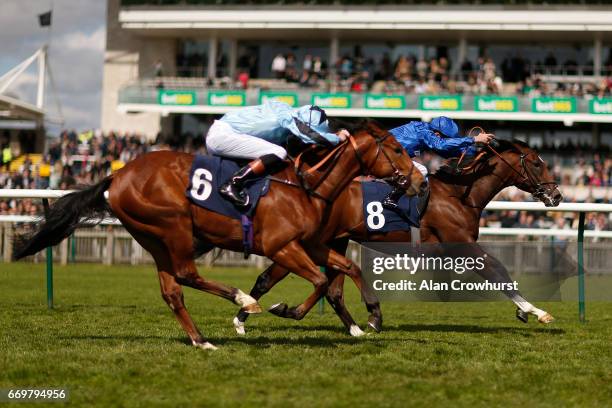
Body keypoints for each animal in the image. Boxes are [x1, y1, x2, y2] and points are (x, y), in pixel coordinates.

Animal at [15, 119, 426, 350]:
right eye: (395, 148)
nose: (420, 180)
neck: (306, 184)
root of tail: (116, 175)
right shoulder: (281, 246)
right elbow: (321, 283)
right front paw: (286, 309)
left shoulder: (312, 244)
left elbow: (347, 270)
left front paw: (371, 317)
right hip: (174, 227)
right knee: (186, 274)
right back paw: (242, 300)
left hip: (153, 238)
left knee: (173, 289)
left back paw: (201, 340)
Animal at [234, 139, 564, 336]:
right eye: (537, 163)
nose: (557, 196)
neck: (459, 195)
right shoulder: (462, 244)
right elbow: (499, 272)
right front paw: (535, 311)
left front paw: (525, 311)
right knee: (274, 278)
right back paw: (247, 316)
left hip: (333, 241)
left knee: (327, 287)